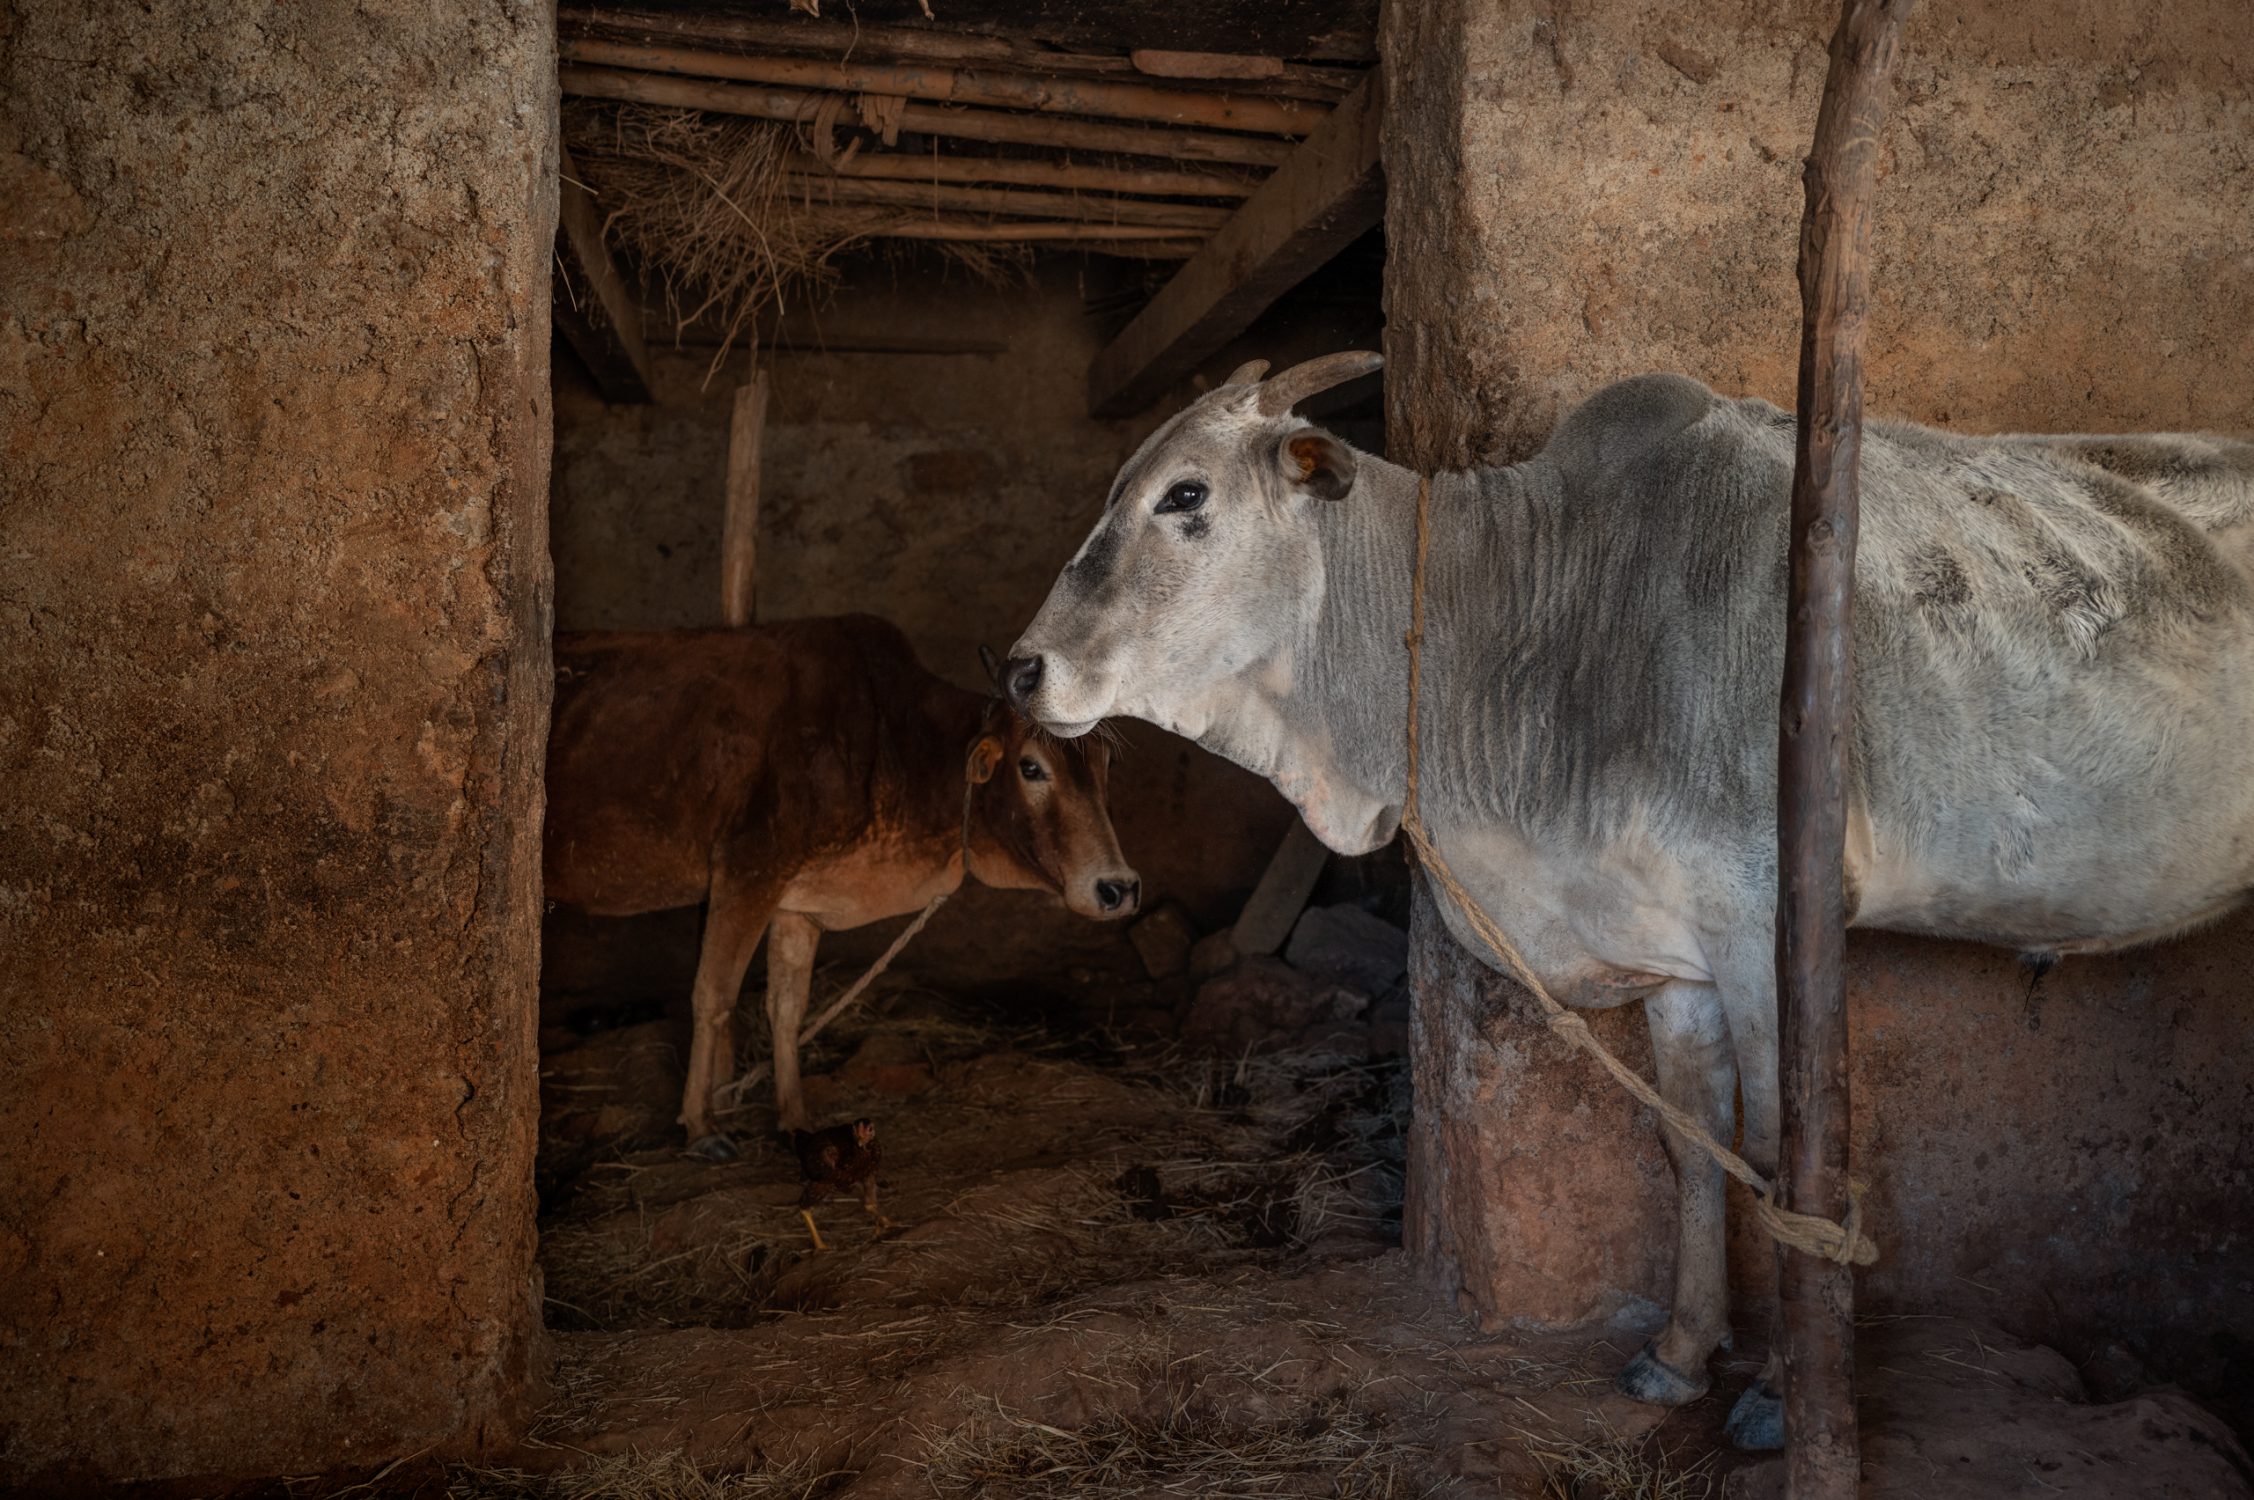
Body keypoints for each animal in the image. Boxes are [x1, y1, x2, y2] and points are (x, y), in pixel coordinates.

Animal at [546, 615, 1140, 1159]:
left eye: (1106, 764)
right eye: (1030, 767)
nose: (1119, 889)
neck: (889, 745)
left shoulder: (796, 905)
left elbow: (787, 1008)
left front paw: (795, 1119)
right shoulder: (747, 873)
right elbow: (713, 996)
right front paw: (701, 1126)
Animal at [1003, 352, 2254, 1448]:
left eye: (1186, 495)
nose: (1020, 669)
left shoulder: (1763, 928)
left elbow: (1788, 1161)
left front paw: (1782, 1401)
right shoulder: (1674, 963)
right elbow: (1693, 1146)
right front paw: (1682, 1352)